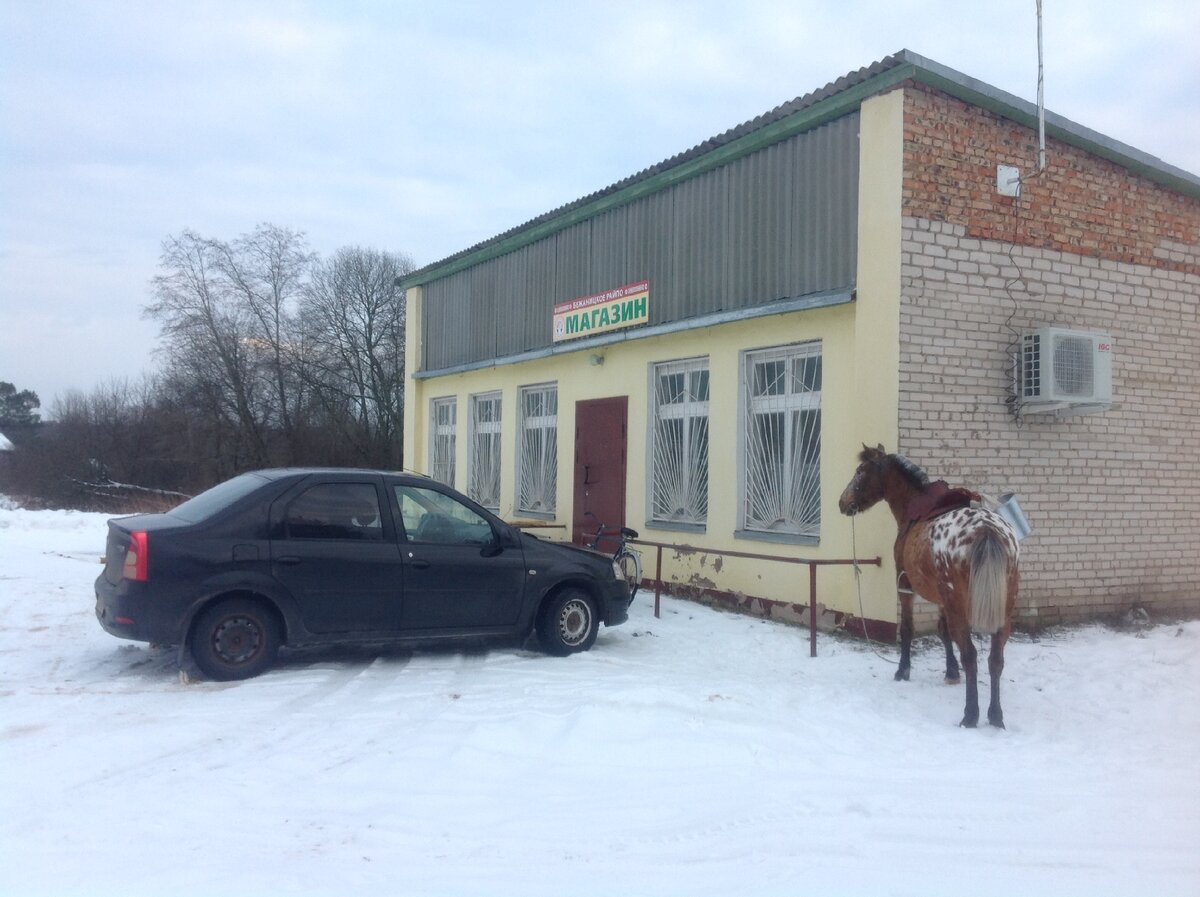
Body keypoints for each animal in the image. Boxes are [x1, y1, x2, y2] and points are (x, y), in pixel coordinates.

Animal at [835, 446, 1022, 724]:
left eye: (860, 471)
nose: (842, 502)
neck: (915, 506)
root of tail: (987, 531)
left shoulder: (905, 584)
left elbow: (908, 629)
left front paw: (903, 671)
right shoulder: (942, 597)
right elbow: (942, 631)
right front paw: (951, 672)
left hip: (960, 607)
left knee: (971, 655)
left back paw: (970, 715)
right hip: (1003, 608)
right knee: (995, 659)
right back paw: (995, 716)